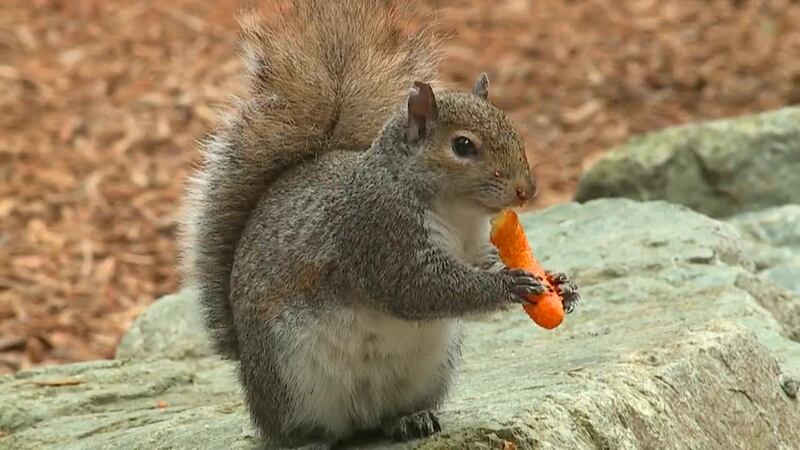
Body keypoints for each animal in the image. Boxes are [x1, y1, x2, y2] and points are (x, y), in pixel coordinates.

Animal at [178, 1, 579, 449]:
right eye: (463, 146)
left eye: (512, 128)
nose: (527, 191)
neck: (455, 212)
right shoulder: (378, 235)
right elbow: (421, 289)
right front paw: (511, 284)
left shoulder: (473, 246)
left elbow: (480, 265)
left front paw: (560, 283)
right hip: (289, 383)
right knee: (291, 430)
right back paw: (308, 439)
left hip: (430, 369)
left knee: (388, 415)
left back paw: (410, 420)